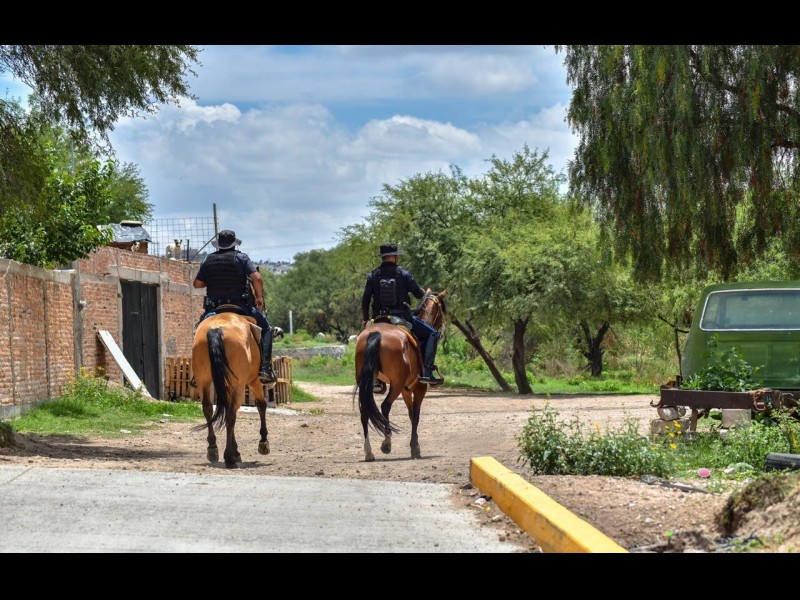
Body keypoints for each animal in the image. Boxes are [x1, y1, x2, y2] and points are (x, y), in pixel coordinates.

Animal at [191, 311, 272, 468]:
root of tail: (216, 328)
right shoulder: (255, 381)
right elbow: (261, 405)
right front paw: (263, 443)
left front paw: (236, 451)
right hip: (239, 385)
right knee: (230, 414)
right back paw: (229, 458)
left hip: (204, 381)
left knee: (208, 409)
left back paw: (213, 449)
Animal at [353, 289, 448, 462]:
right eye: (443, 310)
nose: (441, 330)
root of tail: (376, 334)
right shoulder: (418, 388)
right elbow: (415, 415)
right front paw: (415, 448)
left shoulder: (406, 389)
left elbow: (411, 414)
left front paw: (414, 446)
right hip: (396, 384)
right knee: (385, 406)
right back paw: (386, 443)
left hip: (366, 382)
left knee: (365, 411)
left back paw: (369, 452)